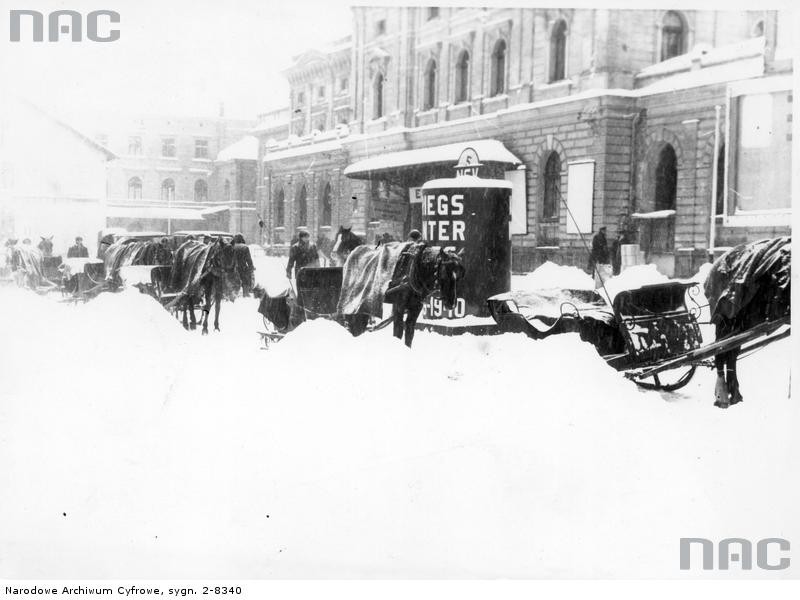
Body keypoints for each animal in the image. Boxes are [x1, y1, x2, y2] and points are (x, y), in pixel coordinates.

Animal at [704, 237, 792, 410]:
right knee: (721, 352)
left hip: (744, 323)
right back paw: (722, 395)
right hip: (726, 320)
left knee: (731, 353)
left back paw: (734, 394)